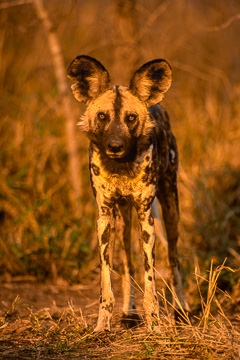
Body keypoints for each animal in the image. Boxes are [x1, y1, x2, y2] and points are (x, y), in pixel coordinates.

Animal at [66, 54, 188, 330]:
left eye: (131, 118)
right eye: (102, 116)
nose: (115, 146)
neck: (121, 166)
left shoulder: (146, 217)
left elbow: (150, 280)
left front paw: (154, 325)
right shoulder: (104, 216)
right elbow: (107, 281)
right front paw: (102, 326)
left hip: (170, 209)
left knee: (173, 257)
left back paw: (181, 309)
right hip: (121, 221)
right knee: (128, 264)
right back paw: (129, 312)